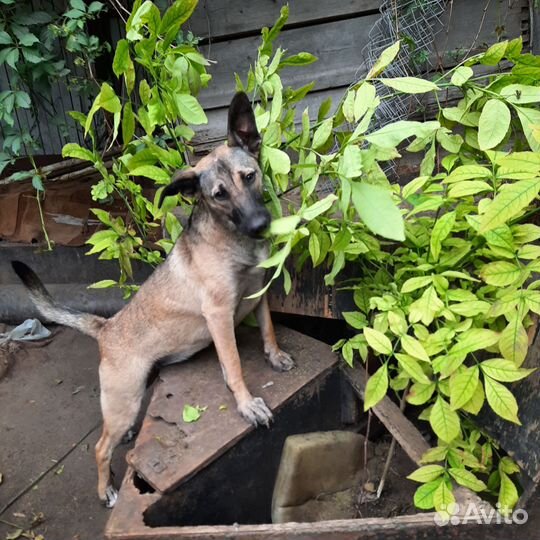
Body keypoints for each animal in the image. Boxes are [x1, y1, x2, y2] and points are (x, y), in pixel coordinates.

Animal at [10, 90, 296, 508]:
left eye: (250, 176)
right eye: (218, 195)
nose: (261, 226)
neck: (231, 239)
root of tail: (106, 327)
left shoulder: (258, 292)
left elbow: (268, 330)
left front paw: (274, 356)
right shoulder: (218, 314)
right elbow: (234, 366)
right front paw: (247, 404)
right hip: (125, 397)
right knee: (99, 447)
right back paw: (106, 489)